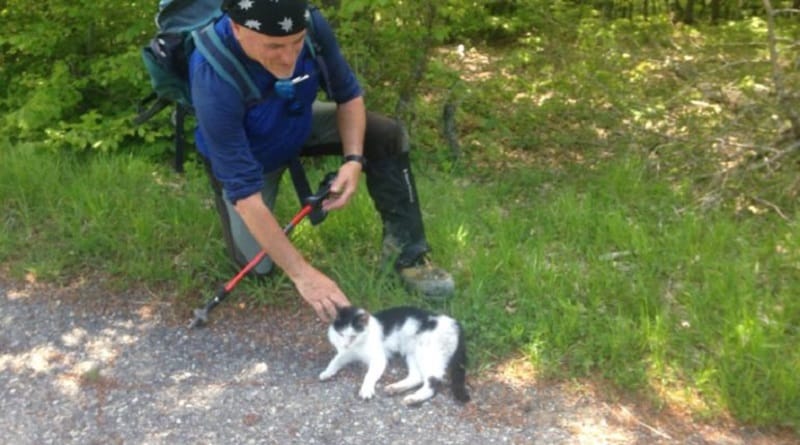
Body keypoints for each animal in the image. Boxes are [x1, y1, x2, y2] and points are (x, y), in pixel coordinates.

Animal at [318, 306, 468, 406]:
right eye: (341, 334)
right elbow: (335, 361)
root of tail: (454, 323)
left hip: (427, 354)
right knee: (417, 377)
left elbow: (369, 375)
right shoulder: (347, 353)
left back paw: (413, 398)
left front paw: (366, 389)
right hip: (412, 354)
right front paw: (326, 372)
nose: (345, 344)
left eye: (353, 336)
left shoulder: (379, 359)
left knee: (433, 383)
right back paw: (395, 388)